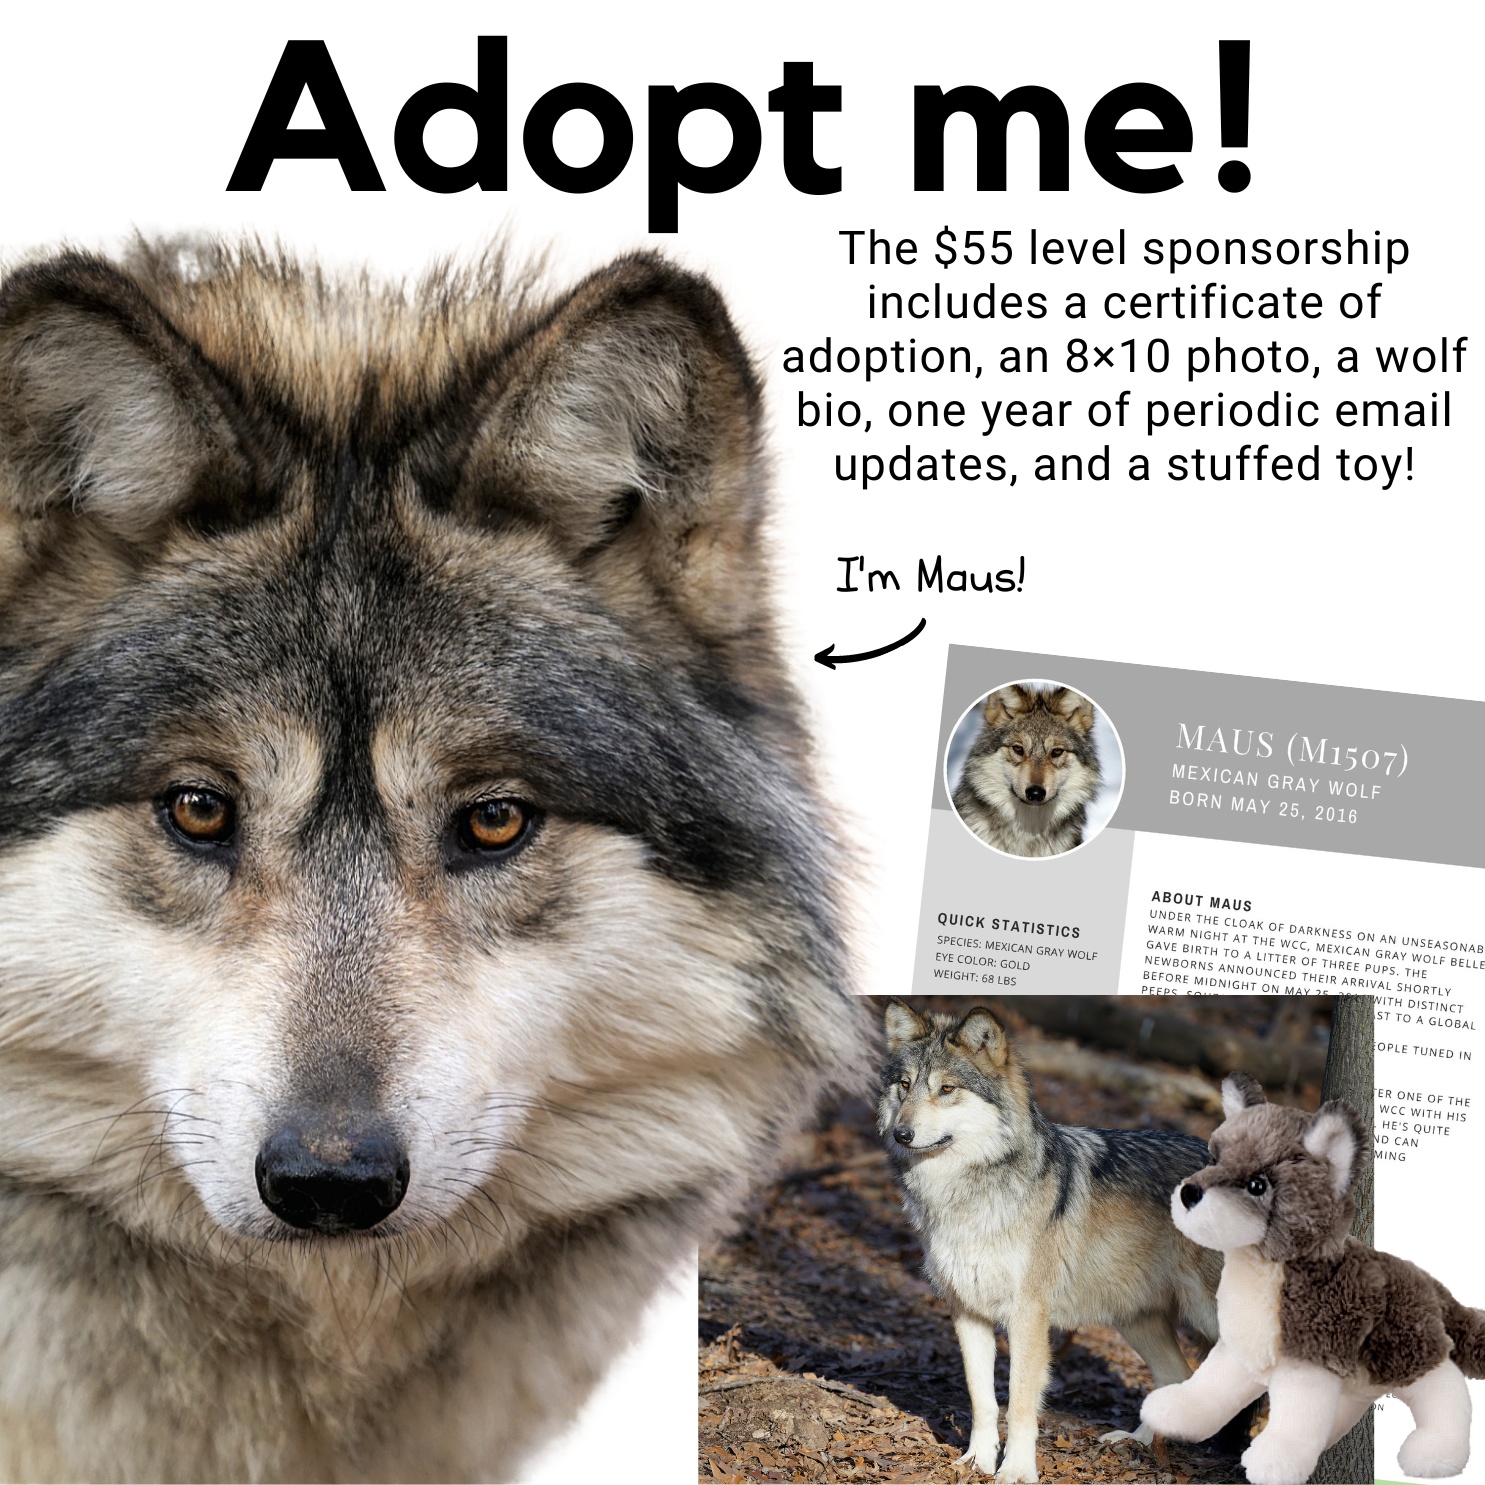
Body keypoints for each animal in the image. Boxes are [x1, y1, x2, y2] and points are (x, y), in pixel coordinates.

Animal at [879, 1003, 1222, 1482]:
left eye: (946, 1089)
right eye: (905, 1085)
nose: (901, 1134)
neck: (967, 1194)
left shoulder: (1027, 1315)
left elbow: (1021, 1401)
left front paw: (1016, 1471)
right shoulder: (967, 1310)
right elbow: (982, 1399)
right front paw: (978, 1461)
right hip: (1137, 1317)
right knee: (1178, 1375)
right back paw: (1137, 1445)